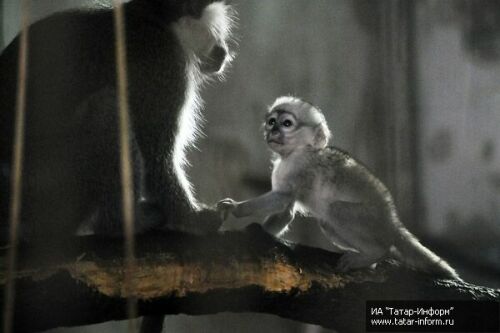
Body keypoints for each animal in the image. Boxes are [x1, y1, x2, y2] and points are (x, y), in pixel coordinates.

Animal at [217, 96, 458, 278]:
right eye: (271, 121)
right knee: (327, 222)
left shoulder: (300, 168)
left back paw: (374, 254)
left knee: (338, 212)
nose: (273, 131)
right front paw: (260, 233)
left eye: (286, 123)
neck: (297, 152)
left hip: (368, 219)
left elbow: (282, 198)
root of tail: (391, 218)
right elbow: (286, 211)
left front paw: (236, 208)